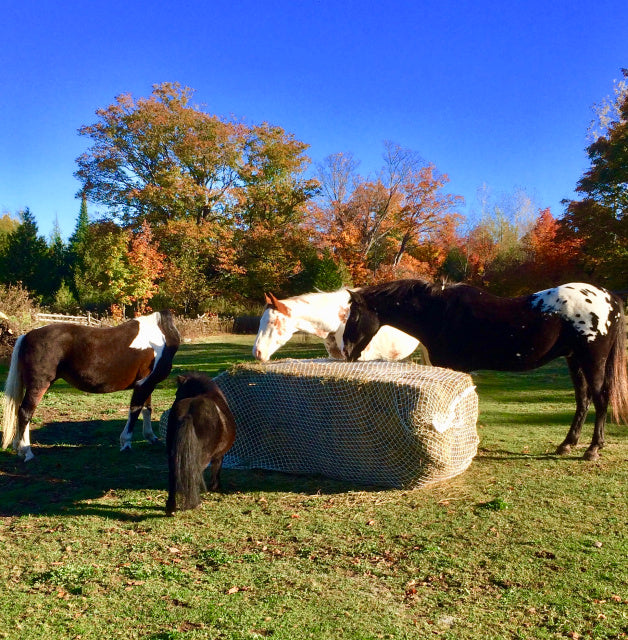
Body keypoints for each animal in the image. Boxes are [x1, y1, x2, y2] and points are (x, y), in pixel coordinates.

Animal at [1, 310, 179, 460]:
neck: (161, 336)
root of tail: (27, 336)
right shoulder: (144, 384)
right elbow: (135, 411)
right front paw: (126, 443)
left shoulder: (148, 383)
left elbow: (146, 409)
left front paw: (151, 437)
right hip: (39, 385)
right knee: (25, 412)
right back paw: (26, 451)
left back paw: (19, 448)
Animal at [166, 372, 237, 516]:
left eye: (177, 393)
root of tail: (188, 414)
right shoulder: (219, 456)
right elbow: (217, 469)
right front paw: (215, 486)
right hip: (203, 457)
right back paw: (195, 503)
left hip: (172, 453)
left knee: (173, 475)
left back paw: (170, 508)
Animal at [344, 280, 628, 460]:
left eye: (354, 316)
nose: (346, 351)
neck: (438, 312)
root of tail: (610, 297)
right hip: (574, 360)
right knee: (583, 400)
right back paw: (567, 445)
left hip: (592, 360)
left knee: (601, 399)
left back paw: (592, 449)